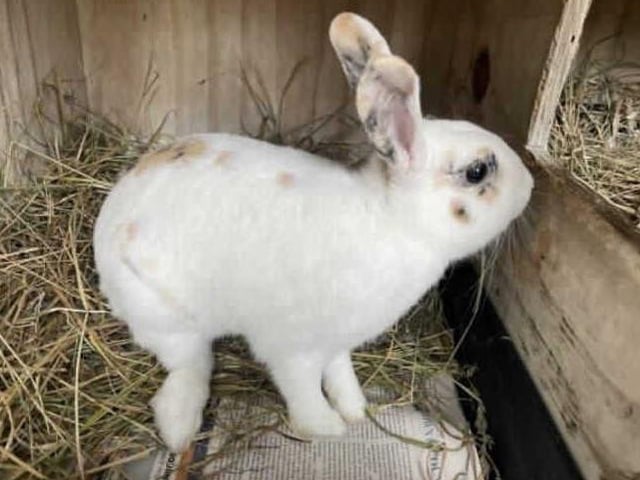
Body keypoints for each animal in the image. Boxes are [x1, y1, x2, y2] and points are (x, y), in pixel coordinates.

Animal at [93, 12, 534, 453]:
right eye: (477, 171)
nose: (531, 185)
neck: (390, 219)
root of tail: (107, 221)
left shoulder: (337, 343)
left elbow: (339, 373)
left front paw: (355, 410)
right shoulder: (291, 349)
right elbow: (302, 390)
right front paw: (326, 428)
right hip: (166, 317)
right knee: (190, 365)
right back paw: (179, 428)